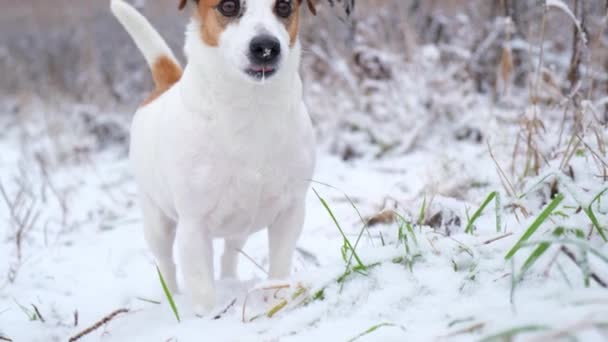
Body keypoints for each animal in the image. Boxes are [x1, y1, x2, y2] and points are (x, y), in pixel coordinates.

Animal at [111, 0, 316, 314]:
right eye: (228, 6)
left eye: (284, 6)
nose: (266, 47)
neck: (250, 108)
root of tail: (165, 86)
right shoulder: (193, 226)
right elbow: (201, 286)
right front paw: (207, 317)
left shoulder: (291, 211)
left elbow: (280, 264)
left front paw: (278, 299)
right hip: (157, 222)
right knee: (167, 264)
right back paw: (172, 297)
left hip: (241, 223)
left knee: (229, 253)